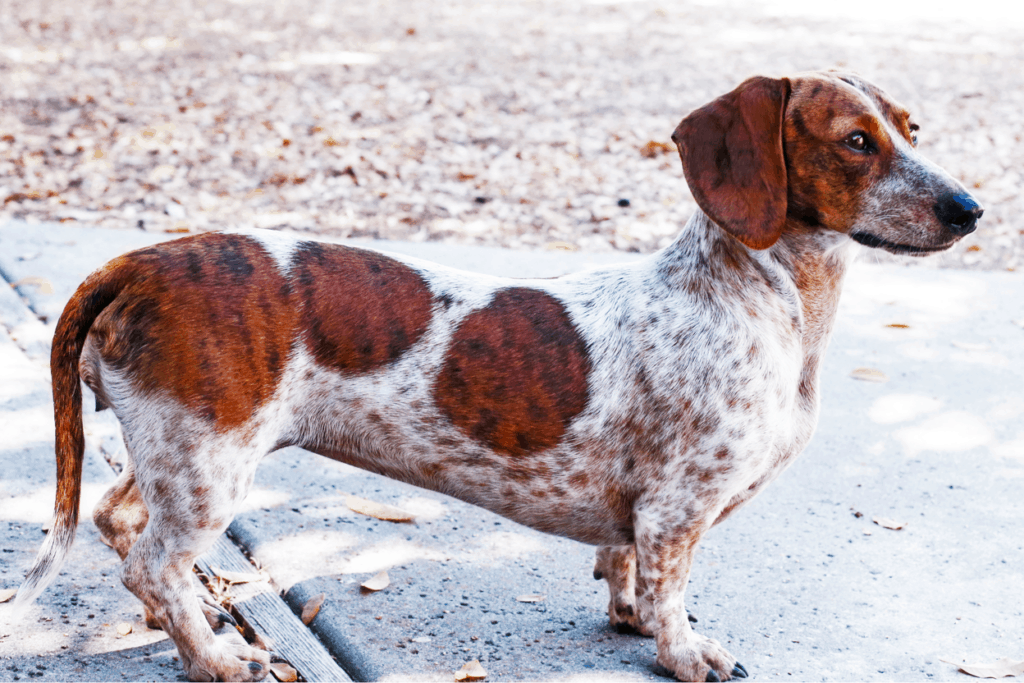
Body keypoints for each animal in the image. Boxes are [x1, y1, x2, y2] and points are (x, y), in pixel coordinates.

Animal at [12, 72, 978, 679]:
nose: (971, 209)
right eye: (855, 141)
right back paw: (217, 657)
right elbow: (672, 590)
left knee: (122, 523)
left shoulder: (643, 515)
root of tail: (139, 261)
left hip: (178, 450)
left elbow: (627, 568)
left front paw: (629, 614)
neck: (757, 295)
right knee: (153, 563)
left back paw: (183, 631)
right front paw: (685, 653)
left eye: (912, 130)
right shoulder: (679, 509)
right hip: (210, 465)